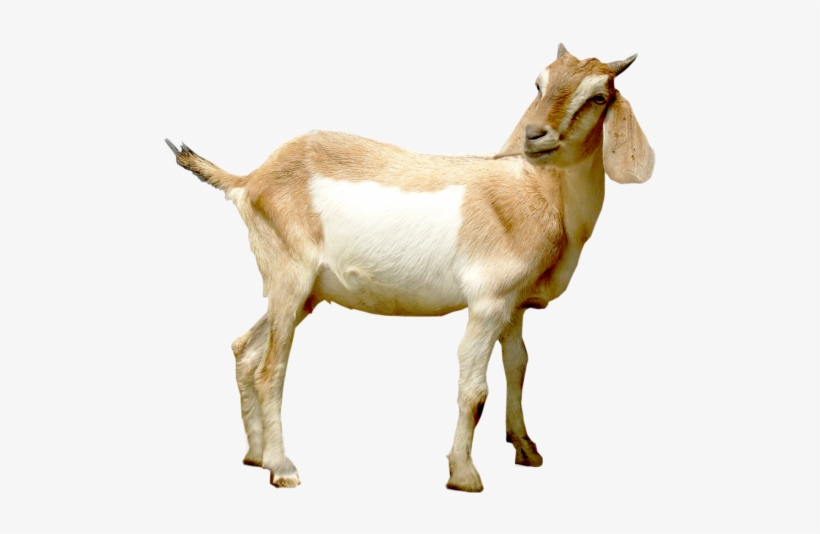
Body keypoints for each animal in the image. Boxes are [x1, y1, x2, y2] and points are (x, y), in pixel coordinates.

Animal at [166, 44, 654, 492]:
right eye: (538, 83)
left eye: (598, 96)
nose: (535, 135)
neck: (537, 193)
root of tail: (250, 179)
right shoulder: (487, 302)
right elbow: (474, 388)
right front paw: (464, 475)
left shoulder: (514, 306)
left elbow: (518, 366)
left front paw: (526, 449)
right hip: (289, 278)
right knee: (271, 370)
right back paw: (283, 468)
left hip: (304, 293)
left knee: (244, 350)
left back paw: (256, 456)